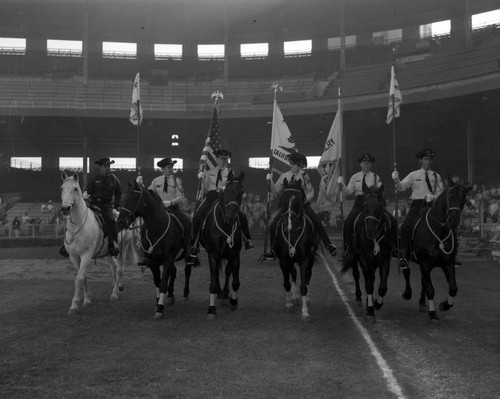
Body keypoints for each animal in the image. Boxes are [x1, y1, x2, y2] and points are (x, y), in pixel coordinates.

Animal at [59, 172, 125, 316]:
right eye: (62, 188)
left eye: (75, 189)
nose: (65, 208)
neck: (78, 226)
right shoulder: (74, 256)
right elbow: (83, 277)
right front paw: (87, 299)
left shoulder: (86, 254)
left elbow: (79, 278)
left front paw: (74, 305)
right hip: (108, 253)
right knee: (114, 266)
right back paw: (117, 288)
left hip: (123, 249)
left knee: (119, 269)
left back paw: (114, 295)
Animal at [117, 183, 193, 320]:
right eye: (124, 197)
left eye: (133, 198)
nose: (120, 222)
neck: (156, 228)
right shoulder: (152, 262)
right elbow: (158, 282)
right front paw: (158, 302)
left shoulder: (167, 259)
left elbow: (163, 283)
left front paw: (160, 309)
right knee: (173, 272)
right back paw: (170, 295)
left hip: (186, 255)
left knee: (187, 272)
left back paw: (185, 294)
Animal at [200, 172, 245, 318]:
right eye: (226, 191)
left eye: (241, 192)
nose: (230, 217)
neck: (225, 226)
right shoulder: (213, 254)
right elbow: (213, 282)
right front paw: (211, 309)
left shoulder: (235, 255)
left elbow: (235, 281)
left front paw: (233, 301)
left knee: (226, 271)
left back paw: (225, 293)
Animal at [272, 180, 318, 320]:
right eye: (283, 200)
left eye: (297, 202)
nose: (289, 225)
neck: (292, 235)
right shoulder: (283, 260)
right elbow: (287, 282)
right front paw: (288, 304)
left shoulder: (305, 259)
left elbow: (303, 285)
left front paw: (305, 311)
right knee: (293, 273)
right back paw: (294, 297)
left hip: (311, 259)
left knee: (308, 275)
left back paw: (306, 298)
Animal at [400, 184, 470, 322]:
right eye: (450, 197)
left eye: (463, 199)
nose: (453, 220)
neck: (439, 232)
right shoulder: (425, 264)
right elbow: (430, 290)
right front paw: (432, 314)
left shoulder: (448, 263)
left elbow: (453, 288)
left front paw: (445, 305)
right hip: (407, 257)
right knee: (407, 272)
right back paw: (407, 293)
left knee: (423, 281)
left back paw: (422, 304)